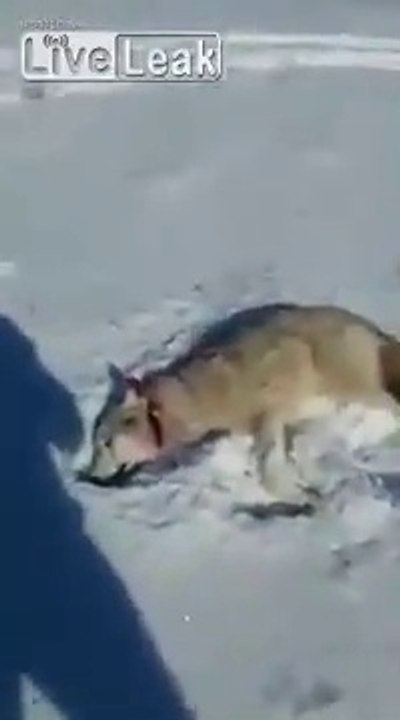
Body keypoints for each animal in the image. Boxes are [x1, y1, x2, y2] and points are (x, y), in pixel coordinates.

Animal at [82, 303, 400, 507]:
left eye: (106, 444)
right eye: (94, 445)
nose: (90, 476)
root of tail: (370, 327)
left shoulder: (267, 409)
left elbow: (267, 464)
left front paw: (297, 496)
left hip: (353, 382)